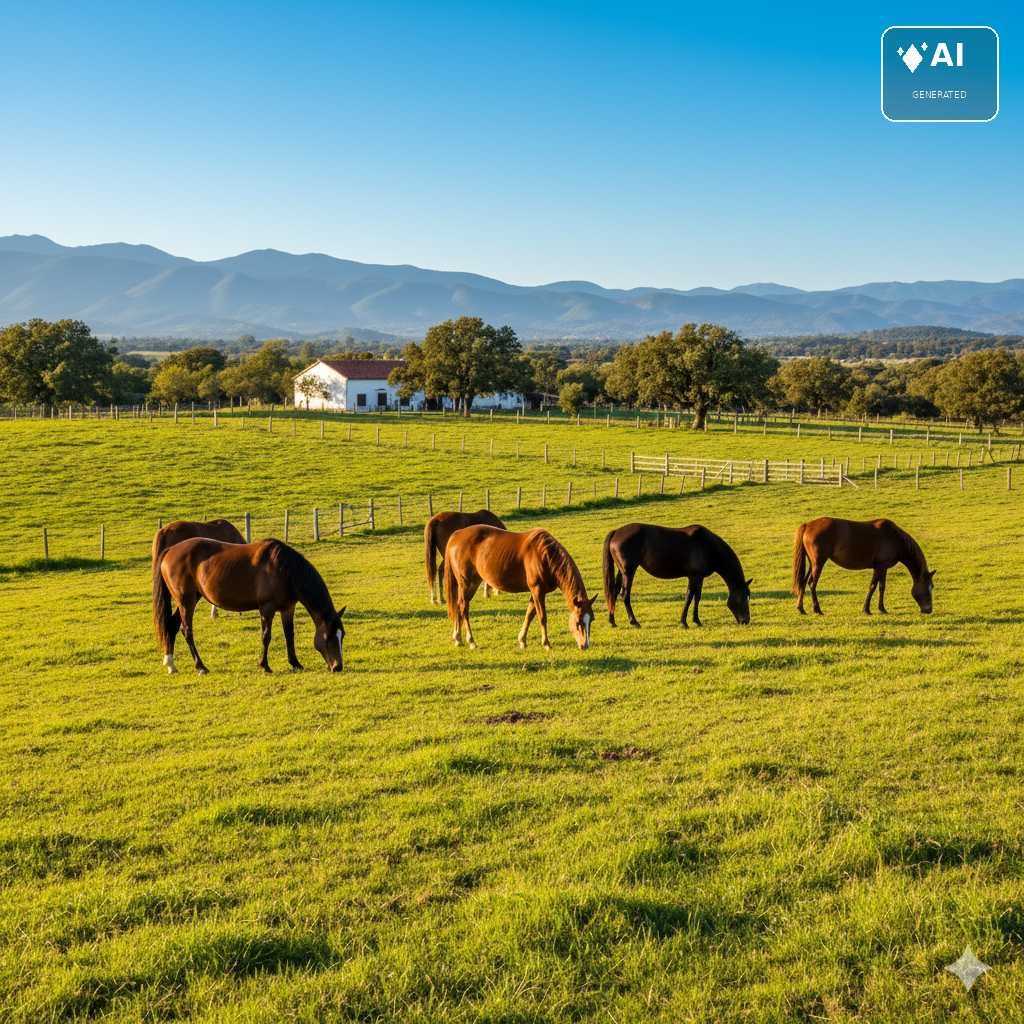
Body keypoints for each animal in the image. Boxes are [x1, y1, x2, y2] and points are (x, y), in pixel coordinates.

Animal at [153, 537, 345, 674]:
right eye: (328, 636)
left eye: (342, 635)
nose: (338, 667)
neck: (283, 569)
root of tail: (170, 551)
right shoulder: (267, 608)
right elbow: (266, 636)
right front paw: (265, 666)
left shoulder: (287, 608)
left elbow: (289, 635)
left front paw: (295, 663)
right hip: (186, 602)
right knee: (186, 631)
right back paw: (200, 666)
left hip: (188, 600)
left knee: (172, 625)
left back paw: (171, 665)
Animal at [444, 525, 597, 650]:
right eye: (578, 622)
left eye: (591, 620)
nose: (585, 645)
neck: (544, 555)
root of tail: (456, 535)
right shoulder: (537, 590)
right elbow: (542, 617)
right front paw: (546, 643)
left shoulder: (536, 592)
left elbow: (530, 615)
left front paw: (522, 640)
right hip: (466, 583)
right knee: (463, 607)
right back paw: (471, 641)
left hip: (472, 584)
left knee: (459, 606)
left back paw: (458, 638)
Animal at [602, 523, 752, 628]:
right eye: (744, 597)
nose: (746, 621)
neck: (707, 546)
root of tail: (616, 532)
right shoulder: (694, 576)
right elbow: (689, 596)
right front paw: (683, 622)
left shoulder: (699, 577)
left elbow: (697, 597)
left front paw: (696, 620)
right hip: (629, 571)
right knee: (624, 595)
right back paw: (634, 621)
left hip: (621, 571)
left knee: (613, 592)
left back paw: (612, 621)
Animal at [792, 517, 935, 615]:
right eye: (929, 587)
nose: (928, 610)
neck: (895, 538)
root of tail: (808, 525)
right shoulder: (880, 567)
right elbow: (873, 586)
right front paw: (867, 609)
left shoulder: (883, 568)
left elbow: (882, 587)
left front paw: (882, 608)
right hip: (818, 563)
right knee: (812, 584)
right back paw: (817, 609)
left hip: (813, 564)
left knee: (803, 582)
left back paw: (801, 609)